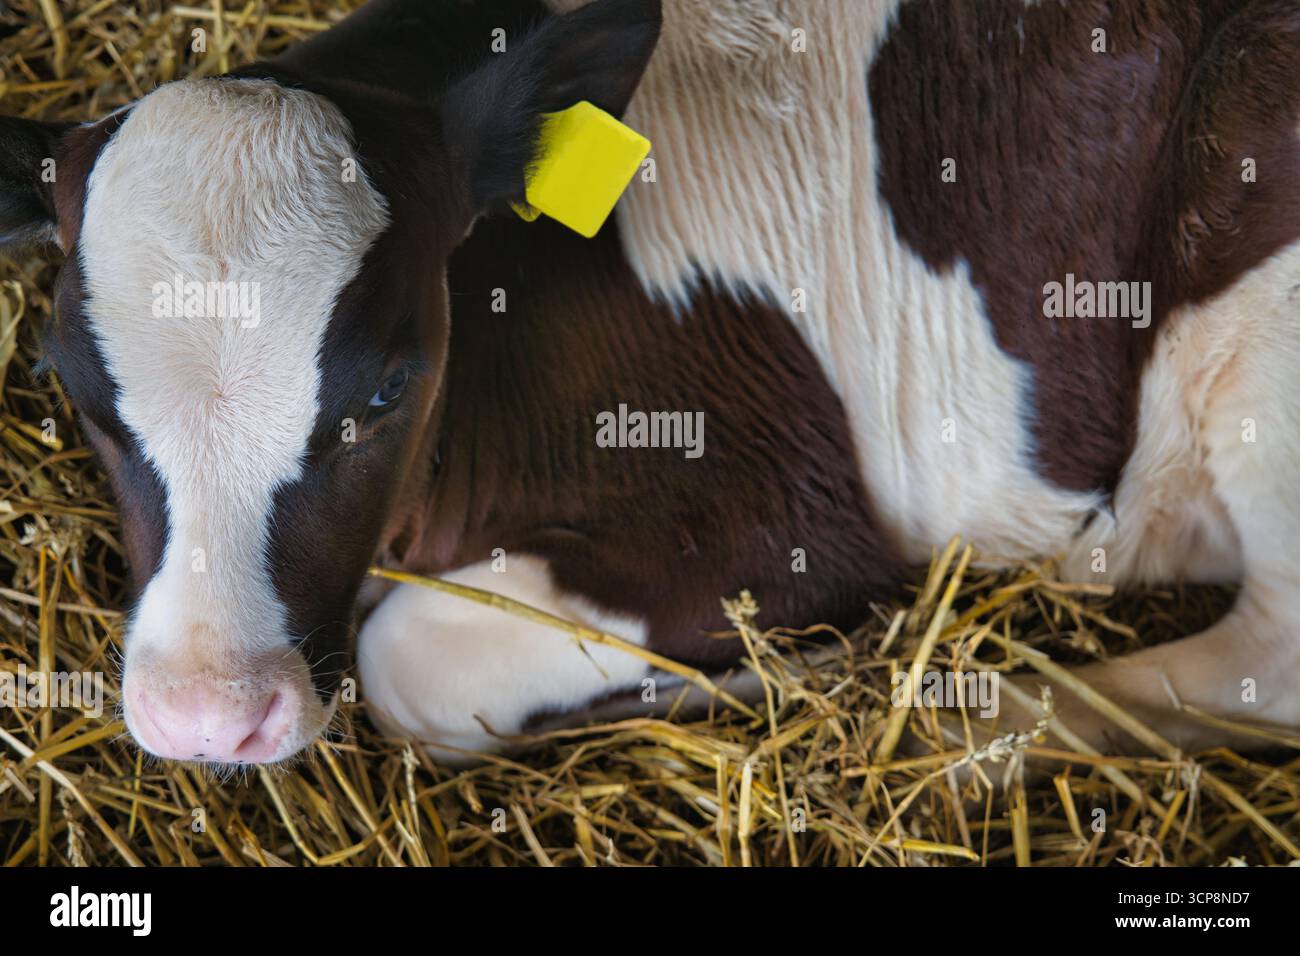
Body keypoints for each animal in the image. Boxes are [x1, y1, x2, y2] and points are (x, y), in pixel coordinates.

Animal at [0, 0, 1296, 767]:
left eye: (381, 394)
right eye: (79, 393)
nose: (205, 712)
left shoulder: (782, 517)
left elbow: (406, 662)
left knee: (1259, 665)